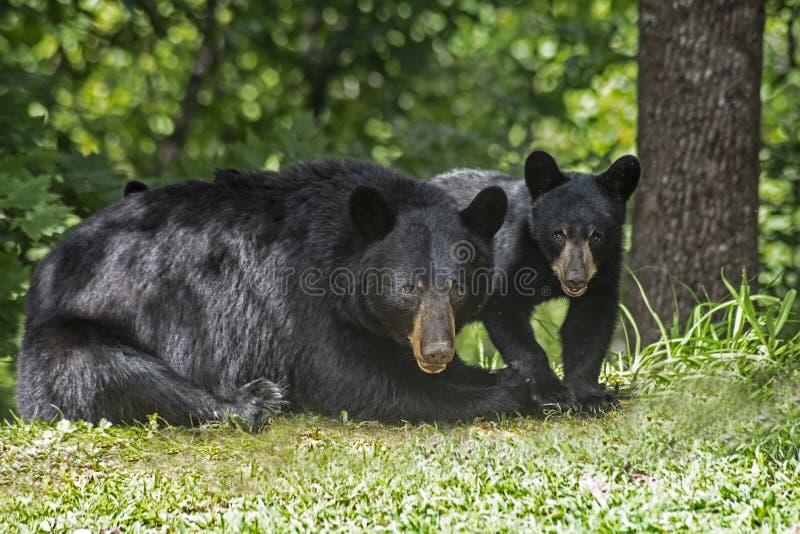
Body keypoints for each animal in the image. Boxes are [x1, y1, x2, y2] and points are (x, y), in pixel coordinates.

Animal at [15, 158, 532, 428]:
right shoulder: (296, 300)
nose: (437, 350)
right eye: (409, 287)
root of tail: (48, 266)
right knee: (100, 370)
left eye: (457, 287)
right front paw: (506, 391)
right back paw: (252, 400)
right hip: (64, 337)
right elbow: (355, 380)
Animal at [432, 151, 644, 414]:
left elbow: (589, 327)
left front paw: (590, 396)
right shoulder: (513, 252)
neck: (547, 265)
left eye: (596, 236)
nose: (575, 279)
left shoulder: (605, 269)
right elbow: (506, 311)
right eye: (558, 234)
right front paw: (553, 393)